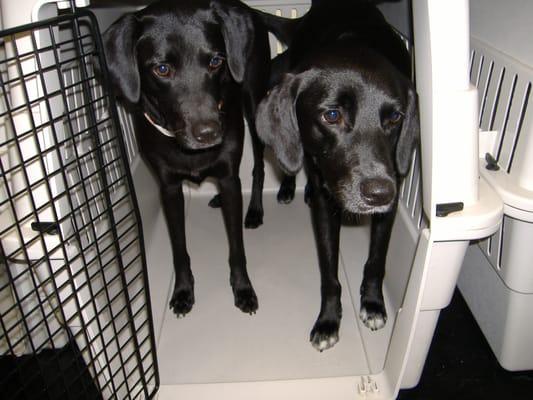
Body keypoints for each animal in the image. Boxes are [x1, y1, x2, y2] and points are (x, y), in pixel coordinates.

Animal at [102, 0, 272, 318]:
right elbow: (179, 249)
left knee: (258, 165)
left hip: (254, 105)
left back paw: (255, 210)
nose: (209, 133)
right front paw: (182, 290)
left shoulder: (229, 177)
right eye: (162, 69)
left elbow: (236, 248)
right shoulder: (169, 189)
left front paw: (243, 288)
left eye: (216, 61)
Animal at [256, 0, 418, 350]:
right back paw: (289, 187)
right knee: (292, 159)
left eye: (395, 118)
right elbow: (329, 275)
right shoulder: (325, 209)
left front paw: (373, 303)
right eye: (332, 115)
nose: (379, 193)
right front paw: (329, 321)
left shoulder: (390, 203)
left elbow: (376, 261)